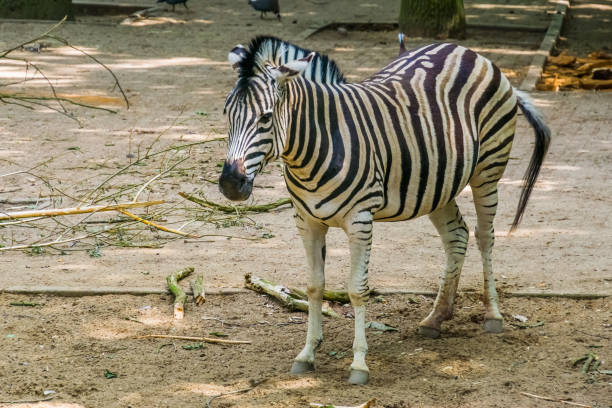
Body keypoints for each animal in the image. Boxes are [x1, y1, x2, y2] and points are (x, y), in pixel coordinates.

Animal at [219, 35, 548, 386]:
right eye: (227, 113)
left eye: (266, 117)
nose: (230, 184)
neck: (314, 148)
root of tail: (466, 51)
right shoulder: (306, 221)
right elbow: (314, 286)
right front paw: (307, 354)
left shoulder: (360, 220)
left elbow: (357, 290)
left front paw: (359, 363)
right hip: (438, 184)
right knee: (457, 236)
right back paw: (436, 317)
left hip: (487, 171)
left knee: (484, 236)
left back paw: (492, 314)